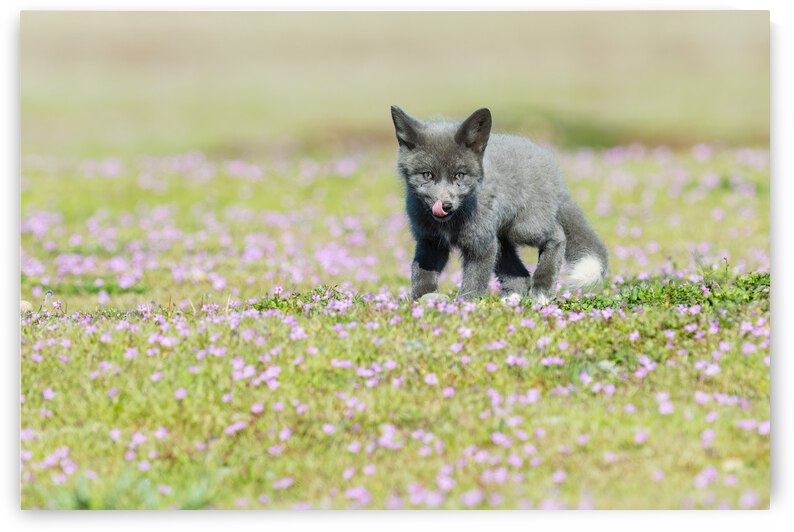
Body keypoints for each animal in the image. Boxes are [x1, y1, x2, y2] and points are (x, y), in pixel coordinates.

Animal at [390, 105, 609, 303]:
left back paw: (542, 289)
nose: (445, 205)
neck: (451, 224)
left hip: (522, 229)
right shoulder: (430, 241)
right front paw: (421, 301)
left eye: (459, 175)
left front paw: (464, 307)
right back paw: (511, 300)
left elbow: (474, 282)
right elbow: (421, 273)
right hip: (502, 239)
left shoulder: (482, 245)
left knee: (557, 235)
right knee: (521, 276)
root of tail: (551, 166)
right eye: (427, 175)